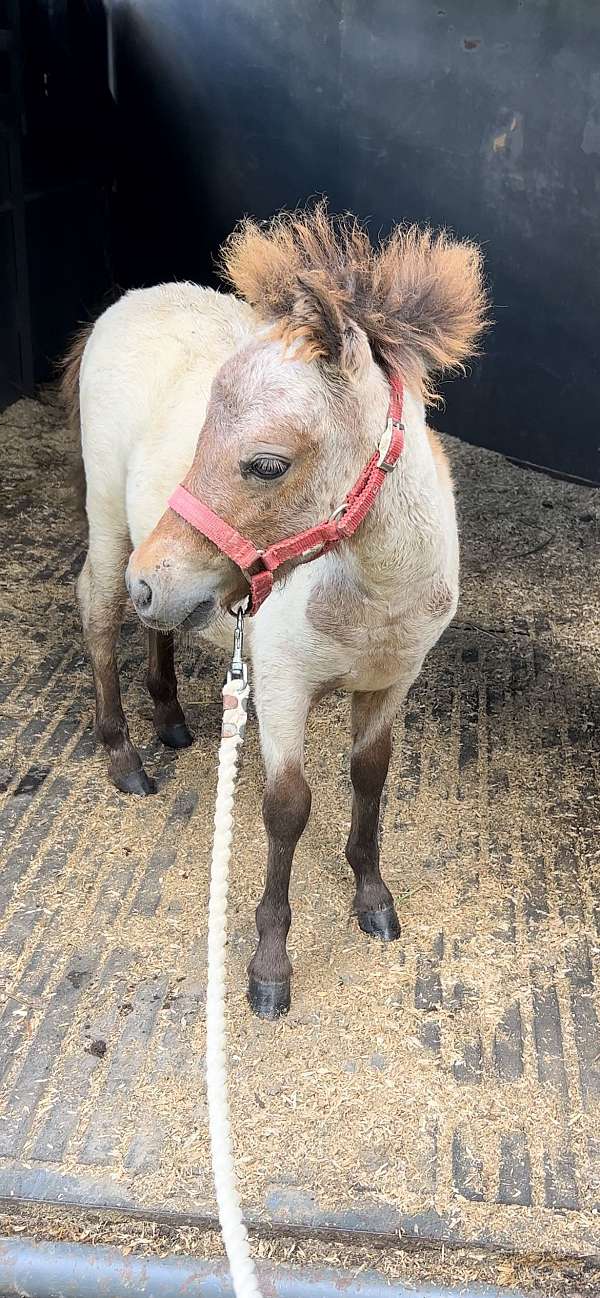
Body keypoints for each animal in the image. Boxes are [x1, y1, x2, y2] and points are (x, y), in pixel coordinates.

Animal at [63, 207, 488, 1017]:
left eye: (266, 464)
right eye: (201, 433)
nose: (151, 581)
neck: (374, 593)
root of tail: (129, 299)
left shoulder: (392, 683)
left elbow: (370, 778)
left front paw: (373, 899)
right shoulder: (284, 686)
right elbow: (287, 807)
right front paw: (268, 967)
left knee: (152, 627)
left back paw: (169, 717)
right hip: (110, 522)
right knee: (99, 611)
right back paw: (124, 756)